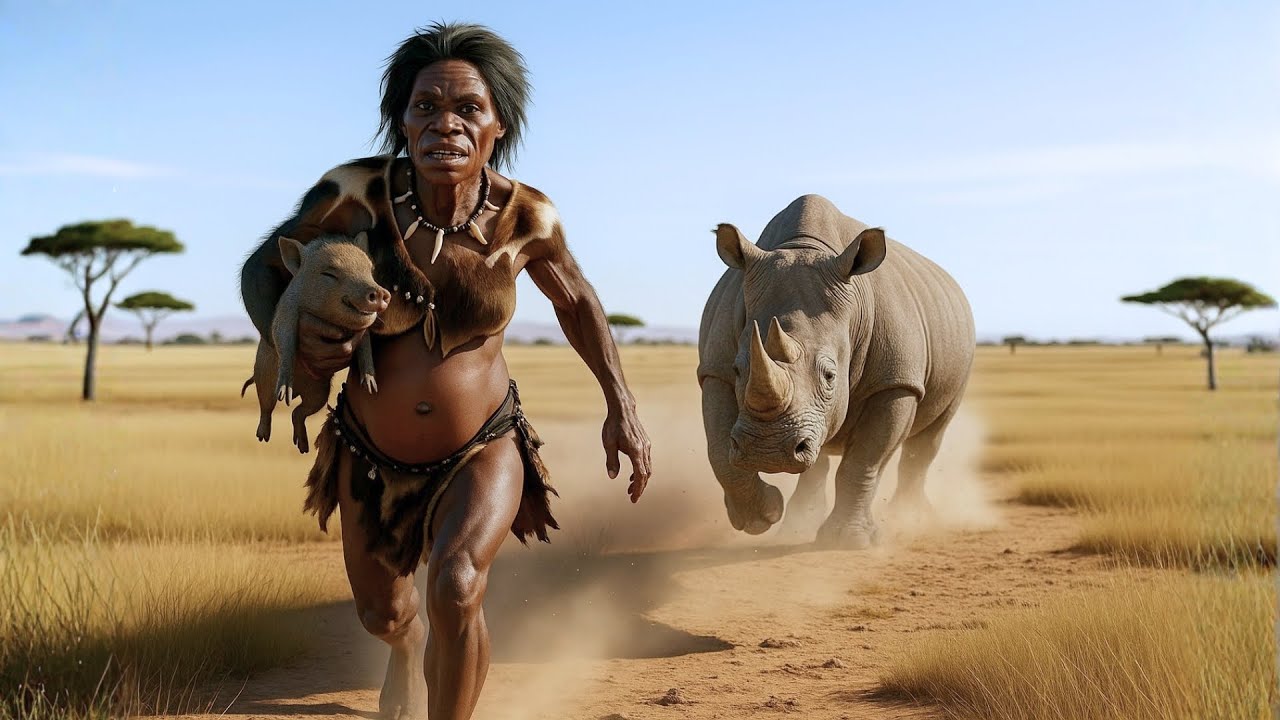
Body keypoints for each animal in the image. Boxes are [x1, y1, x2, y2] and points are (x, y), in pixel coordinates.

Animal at [697, 195, 975, 546]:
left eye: (830, 376)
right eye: (737, 369)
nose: (768, 452)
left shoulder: (896, 381)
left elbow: (864, 461)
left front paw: (849, 541)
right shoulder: (714, 369)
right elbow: (719, 450)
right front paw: (762, 516)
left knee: (927, 441)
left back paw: (912, 519)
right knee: (819, 451)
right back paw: (796, 524)